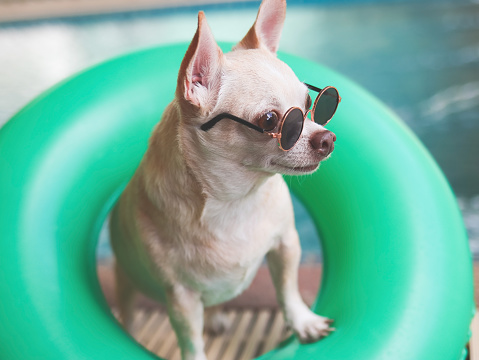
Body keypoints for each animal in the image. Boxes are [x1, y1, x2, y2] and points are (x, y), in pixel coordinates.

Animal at [111, 0, 340, 358]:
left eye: (311, 105)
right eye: (271, 120)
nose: (327, 138)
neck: (236, 200)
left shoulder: (286, 245)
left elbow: (287, 290)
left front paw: (304, 322)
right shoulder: (181, 299)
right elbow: (191, 342)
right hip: (125, 279)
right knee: (129, 310)